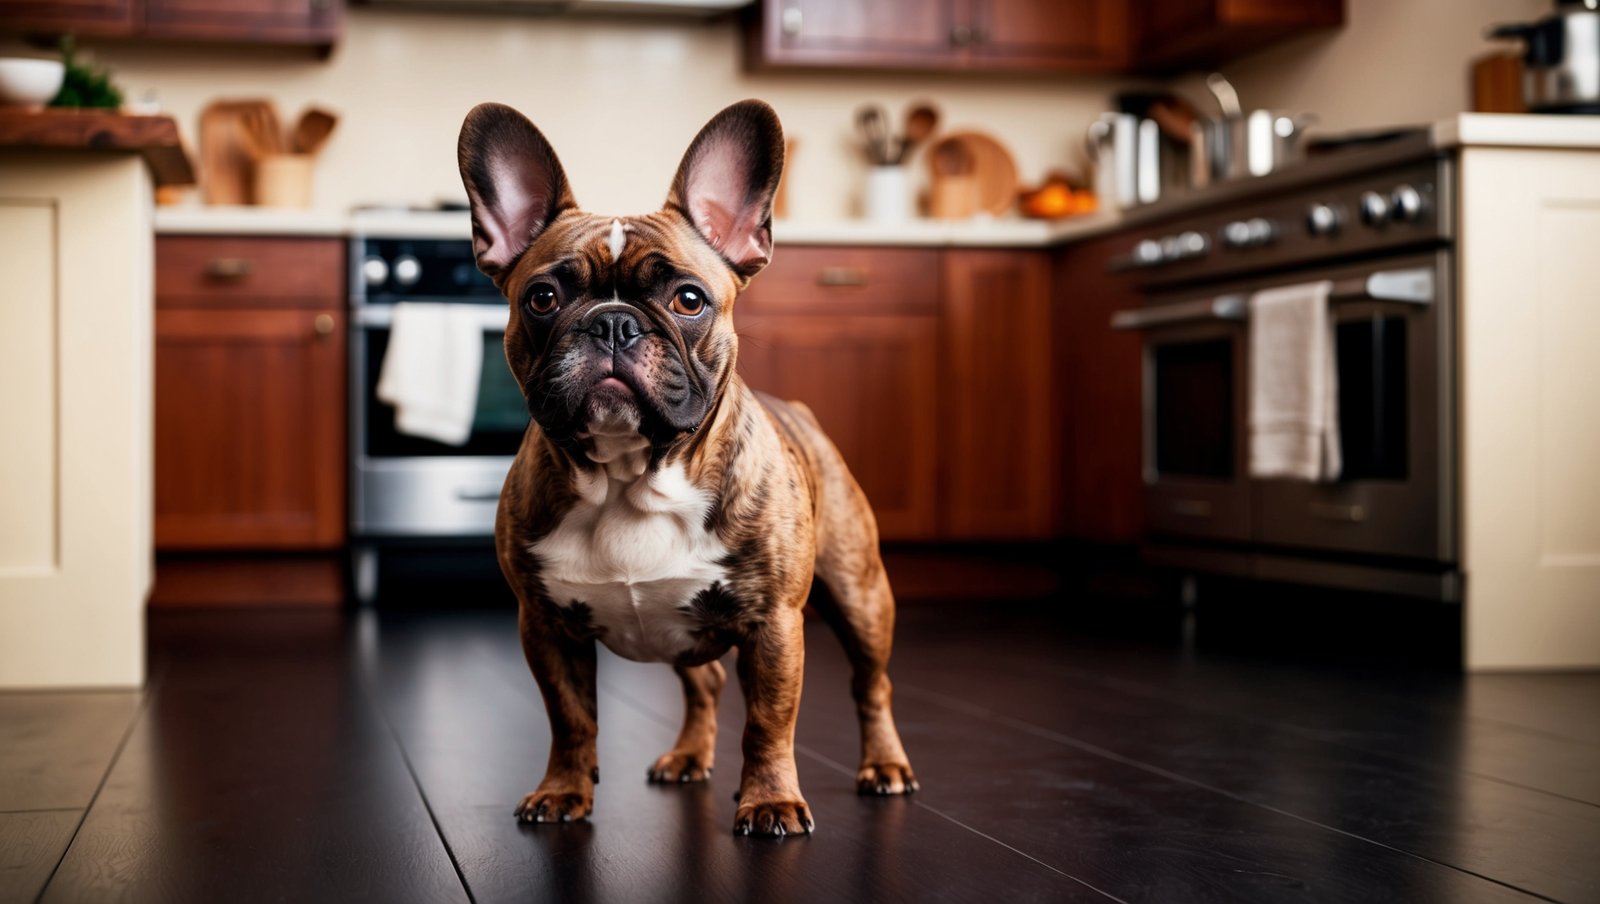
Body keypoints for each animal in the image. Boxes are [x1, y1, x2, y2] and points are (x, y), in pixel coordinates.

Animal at [457, 95, 921, 838]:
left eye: (689, 299)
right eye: (543, 299)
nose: (613, 322)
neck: (630, 477)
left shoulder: (773, 624)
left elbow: (768, 722)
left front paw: (770, 802)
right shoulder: (546, 626)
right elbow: (570, 720)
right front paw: (562, 791)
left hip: (859, 593)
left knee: (871, 684)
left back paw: (884, 766)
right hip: (682, 635)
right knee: (705, 684)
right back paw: (686, 757)